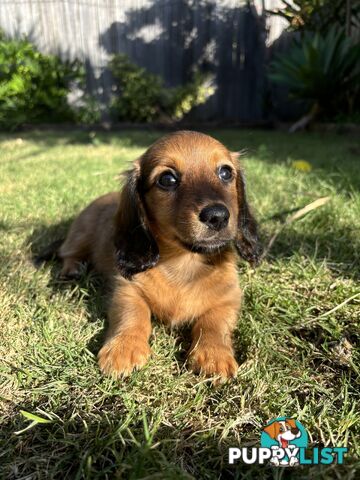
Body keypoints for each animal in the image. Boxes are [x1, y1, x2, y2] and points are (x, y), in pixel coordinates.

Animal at [59, 130, 262, 378]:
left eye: (225, 173)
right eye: (167, 179)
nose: (218, 216)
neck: (184, 262)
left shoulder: (228, 298)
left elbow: (214, 324)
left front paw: (214, 355)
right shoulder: (127, 289)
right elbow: (133, 314)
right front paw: (124, 348)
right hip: (81, 233)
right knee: (68, 253)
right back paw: (72, 269)